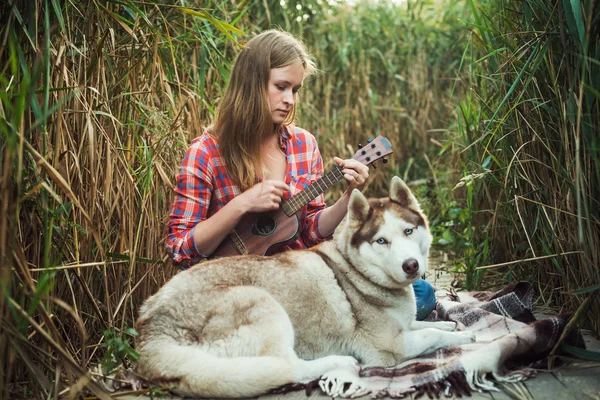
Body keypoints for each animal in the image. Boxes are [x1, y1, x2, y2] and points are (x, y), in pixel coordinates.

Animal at [135, 177, 474, 398]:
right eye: (381, 241)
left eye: (408, 231)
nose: (411, 265)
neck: (359, 272)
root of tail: (150, 332)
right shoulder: (389, 349)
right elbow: (431, 335)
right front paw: (463, 335)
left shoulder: (404, 324)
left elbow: (425, 323)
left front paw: (450, 323)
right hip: (262, 302)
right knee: (287, 367)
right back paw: (338, 363)